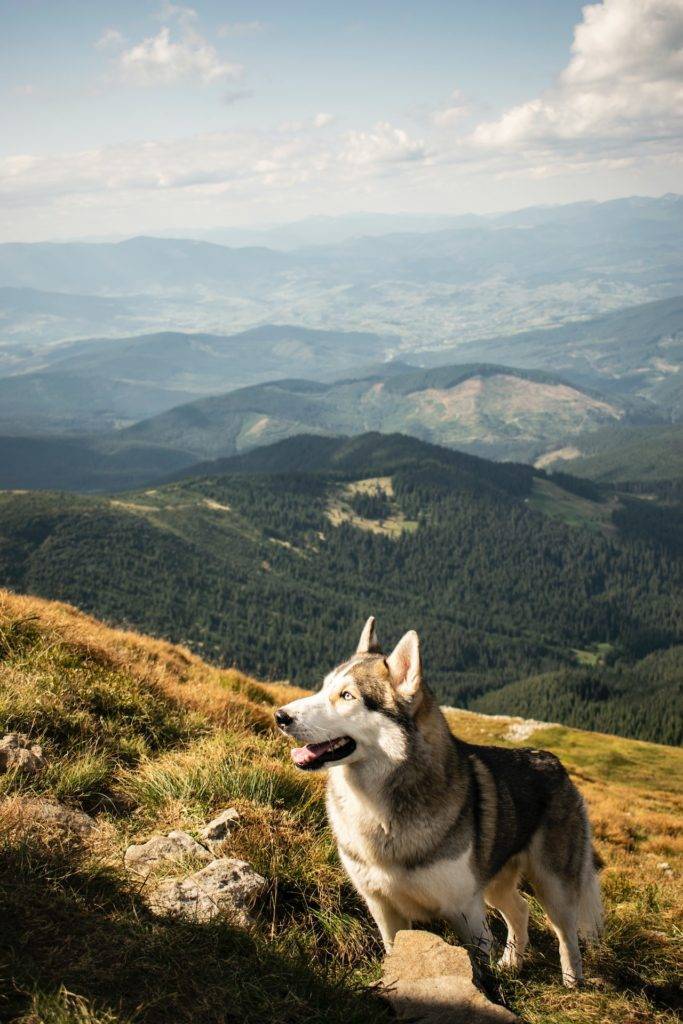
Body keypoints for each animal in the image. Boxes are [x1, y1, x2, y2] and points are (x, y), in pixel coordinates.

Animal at [274, 614, 606, 983]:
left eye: (347, 696)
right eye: (322, 688)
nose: (280, 716)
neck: (379, 811)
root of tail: (556, 763)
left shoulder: (466, 914)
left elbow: (478, 969)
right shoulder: (383, 908)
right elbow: (393, 952)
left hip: (553, 885)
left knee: (567, 934)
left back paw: (572, 981)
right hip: (494, 885)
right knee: (520, 910)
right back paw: (511, 964)